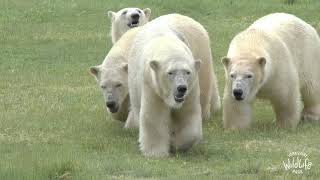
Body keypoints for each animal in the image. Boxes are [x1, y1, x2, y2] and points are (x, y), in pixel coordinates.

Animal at [127, 13, 220, 156]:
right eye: (170, 73)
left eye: (187, 72)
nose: (181, 88)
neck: (167, 45)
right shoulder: (151, 84)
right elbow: (154, 116)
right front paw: (156, 153)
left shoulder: (191, 89)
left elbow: (188, 114)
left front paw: (177, 144)